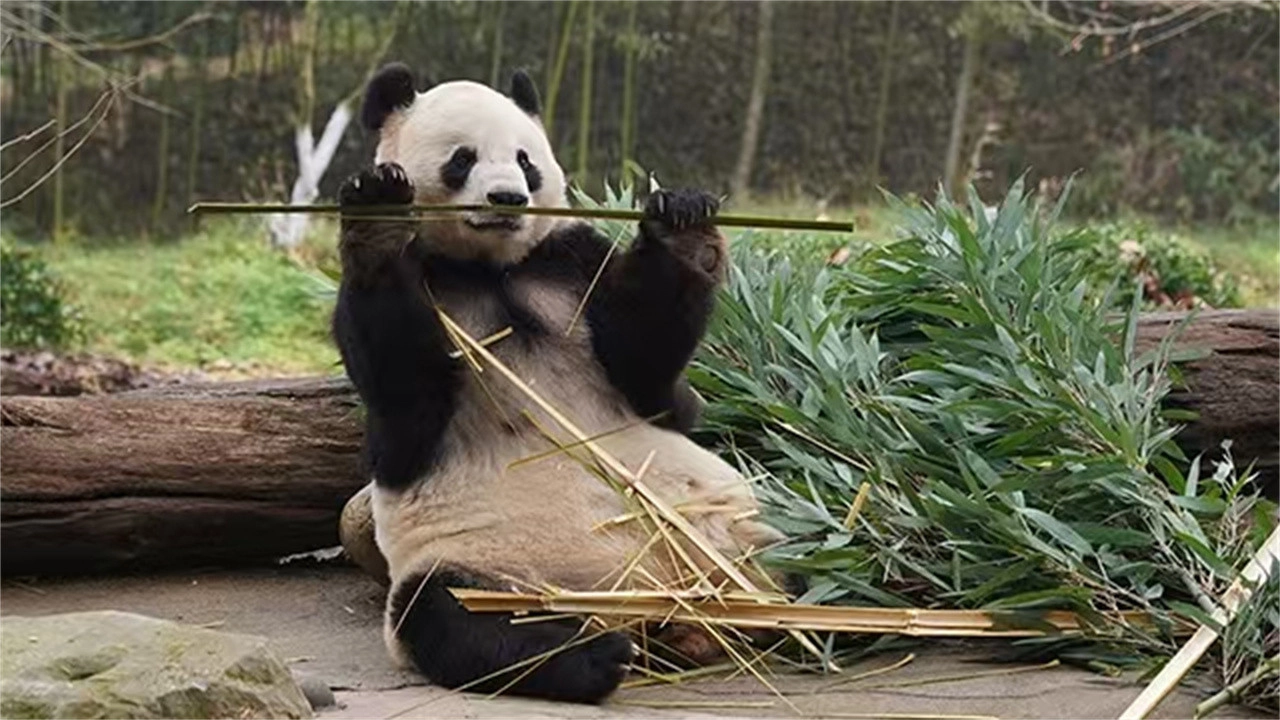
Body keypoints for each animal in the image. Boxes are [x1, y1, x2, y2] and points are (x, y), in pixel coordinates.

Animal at [332, 63, 788, 704]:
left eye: (525, 160)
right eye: (463, 159)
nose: (507, 198)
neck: (490, 270)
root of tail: (650, 608)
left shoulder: (569, 263)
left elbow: (646, 370)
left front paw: (684, 228)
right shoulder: (425, 298)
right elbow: (402, 398)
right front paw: (378, 220)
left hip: (731, 529)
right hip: (476, 567)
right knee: (451, 620)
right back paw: (593, 655)